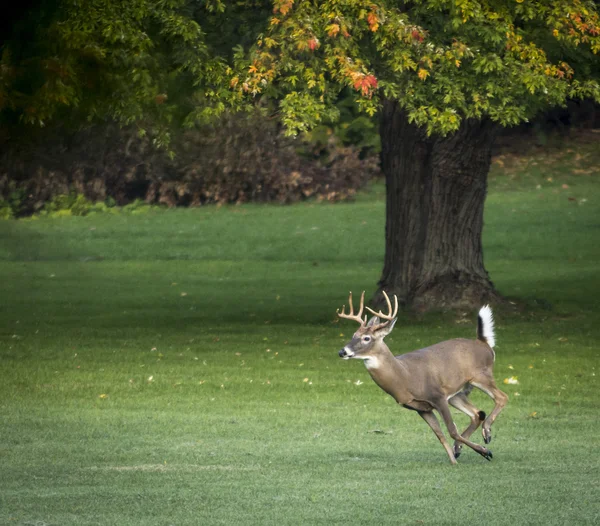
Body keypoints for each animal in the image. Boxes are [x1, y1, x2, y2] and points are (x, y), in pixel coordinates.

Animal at [336, 292, 508, 466]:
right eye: (353, 335)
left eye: (366, 338)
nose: (342, 352)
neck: (405, 377)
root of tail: (484, 343)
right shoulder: (421, 408)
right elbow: (440, 434)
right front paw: (454, 461)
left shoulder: (437, 396)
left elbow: (452, 430)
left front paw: (485, 451)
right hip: (456, 393)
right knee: (477, 413)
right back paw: (459, 448)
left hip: (481, 375)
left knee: (502, 397)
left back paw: (486, 434)